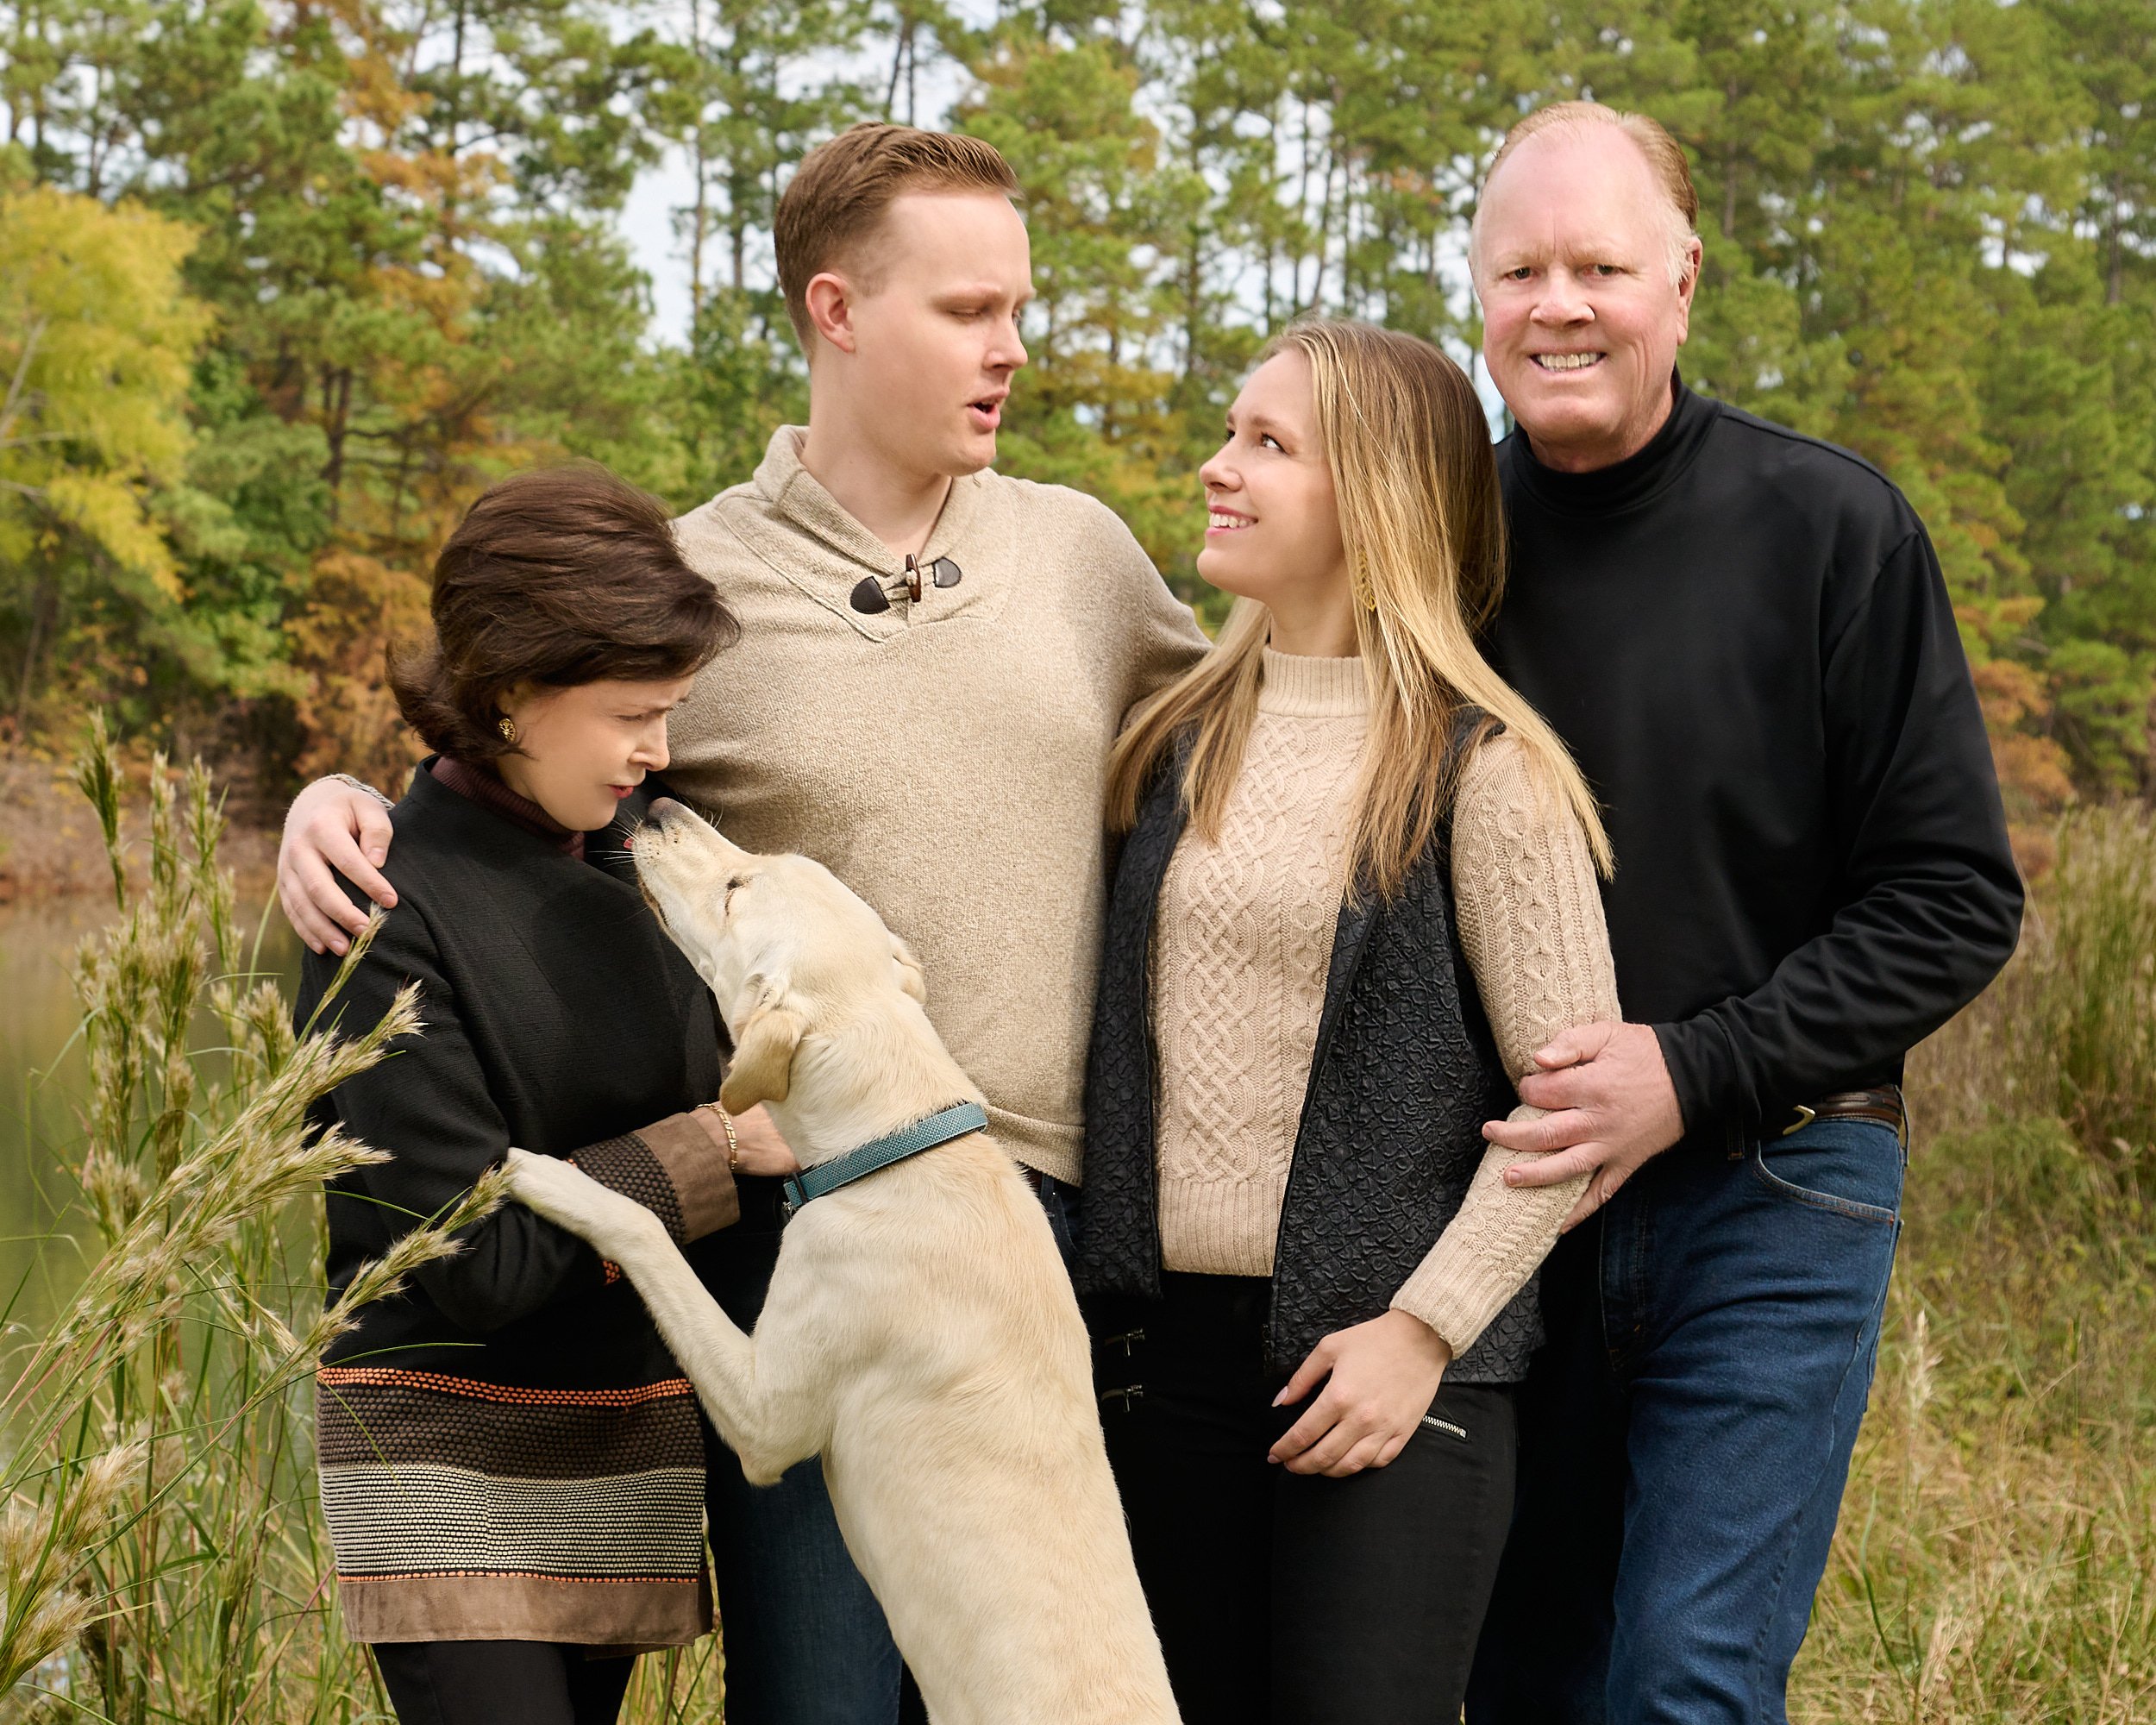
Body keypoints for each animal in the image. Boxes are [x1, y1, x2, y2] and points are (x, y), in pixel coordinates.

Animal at [505, 798, 1181, 1725]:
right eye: (761, 862)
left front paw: (551, 1178)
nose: (663, 807)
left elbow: (643, 1229)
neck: (898, 1143)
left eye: (734, 889)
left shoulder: (764, 1418)